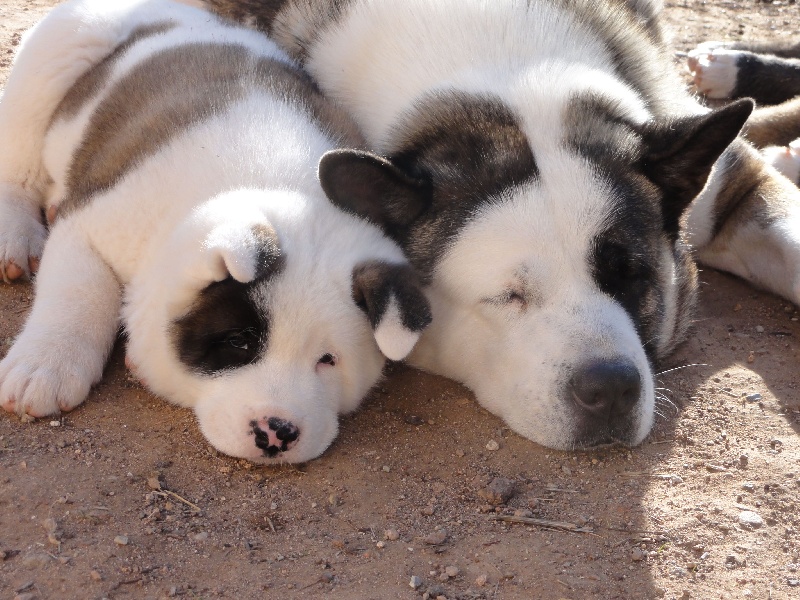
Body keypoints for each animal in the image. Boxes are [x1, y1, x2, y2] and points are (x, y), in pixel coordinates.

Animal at [0, 0, 432, 464]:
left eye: (328, 359)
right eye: (240, 342)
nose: (277, 433)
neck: (284, 186)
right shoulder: (90, 224)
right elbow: (77, 290)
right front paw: (44, 368)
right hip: (60, 51)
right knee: (18, 163)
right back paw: (16, 237)